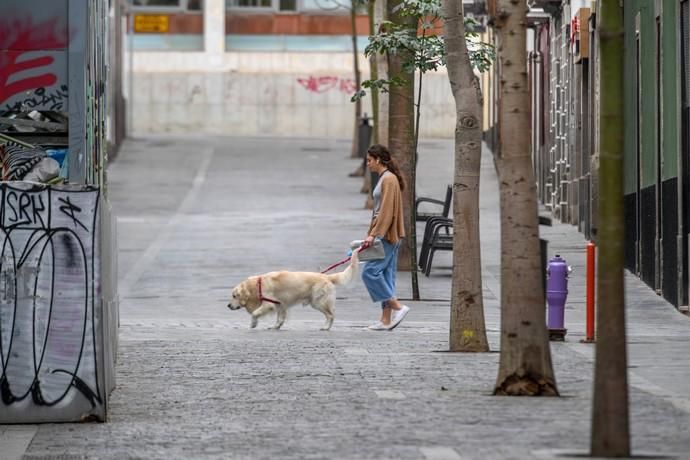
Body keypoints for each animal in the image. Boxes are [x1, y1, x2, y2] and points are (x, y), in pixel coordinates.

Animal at [227, 248, 358, 330]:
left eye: (234, 296)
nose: (228, 306)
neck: (258, 284)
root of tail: (326, 276)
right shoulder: (280, 304)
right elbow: (280, 319)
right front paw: (275, 327)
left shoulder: (269, 304)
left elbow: (255, 313)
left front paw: (253, 324)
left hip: (318, 302)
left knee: (331, 315)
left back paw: (326, 327)